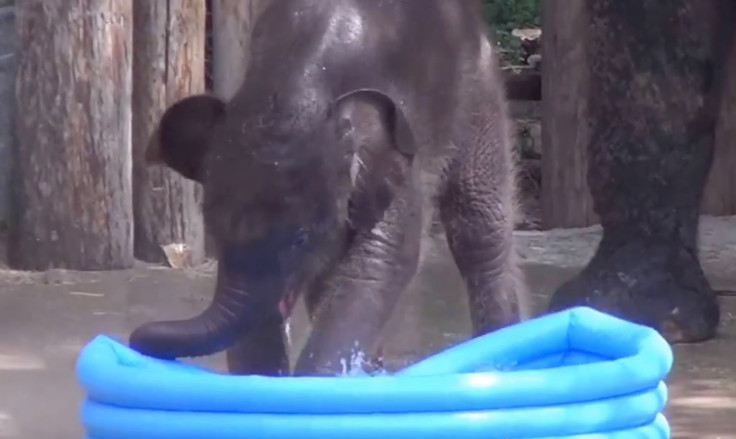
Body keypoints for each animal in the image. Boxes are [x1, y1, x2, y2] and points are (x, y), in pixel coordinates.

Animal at [129, 0, 528, 378]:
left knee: (479, 227)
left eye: (301, 239)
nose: (136, 339)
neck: (300, 80)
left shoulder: (399, 157)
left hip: (478, 92)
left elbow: (379, 261)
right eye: (214, 231)